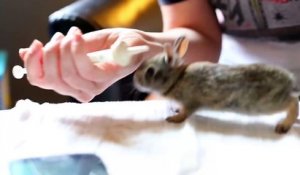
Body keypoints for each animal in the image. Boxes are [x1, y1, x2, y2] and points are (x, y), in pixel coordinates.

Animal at [135, 36, 298, 134]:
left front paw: (173, 119)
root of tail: (291, 82)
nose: (135, 80)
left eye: (150, 71)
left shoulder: (191, 102)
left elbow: (185, 114)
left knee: (293, 102)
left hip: (269, 102)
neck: (177, 79)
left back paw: (284, 125)